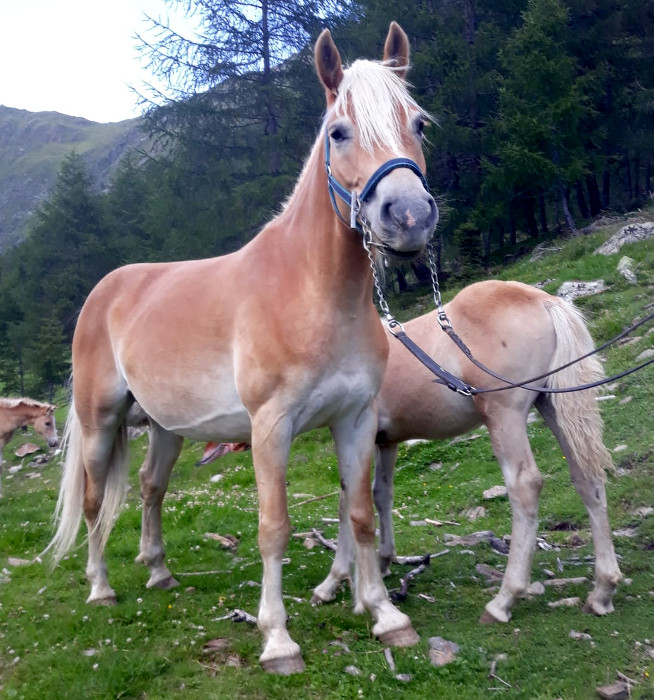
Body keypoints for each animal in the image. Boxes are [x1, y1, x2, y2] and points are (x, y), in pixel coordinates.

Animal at [47, 23, 438, 674]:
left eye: (420, 124)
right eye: (339, 131)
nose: (407, 217)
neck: (313, 291)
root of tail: (106, 290)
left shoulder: (357, 420)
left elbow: (359, 514)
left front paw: (387, 616)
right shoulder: (270, 428)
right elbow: (274, 527)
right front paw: (277, 639)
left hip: (166, 427)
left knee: (151, 488)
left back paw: (159, 573)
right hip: (101, 421)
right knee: (98, 499)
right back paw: (101, 587)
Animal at [311, 279, 622, 623]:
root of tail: (541, 299)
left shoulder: (354, 433)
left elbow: (346, 503)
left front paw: (332, 581)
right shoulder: (385, 441)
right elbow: (381, 495)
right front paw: (383, 560)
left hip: (504, 416)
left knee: (525, 486)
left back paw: (504, 600)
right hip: (552, 406)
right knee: (587, 478)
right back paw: (603, 591)